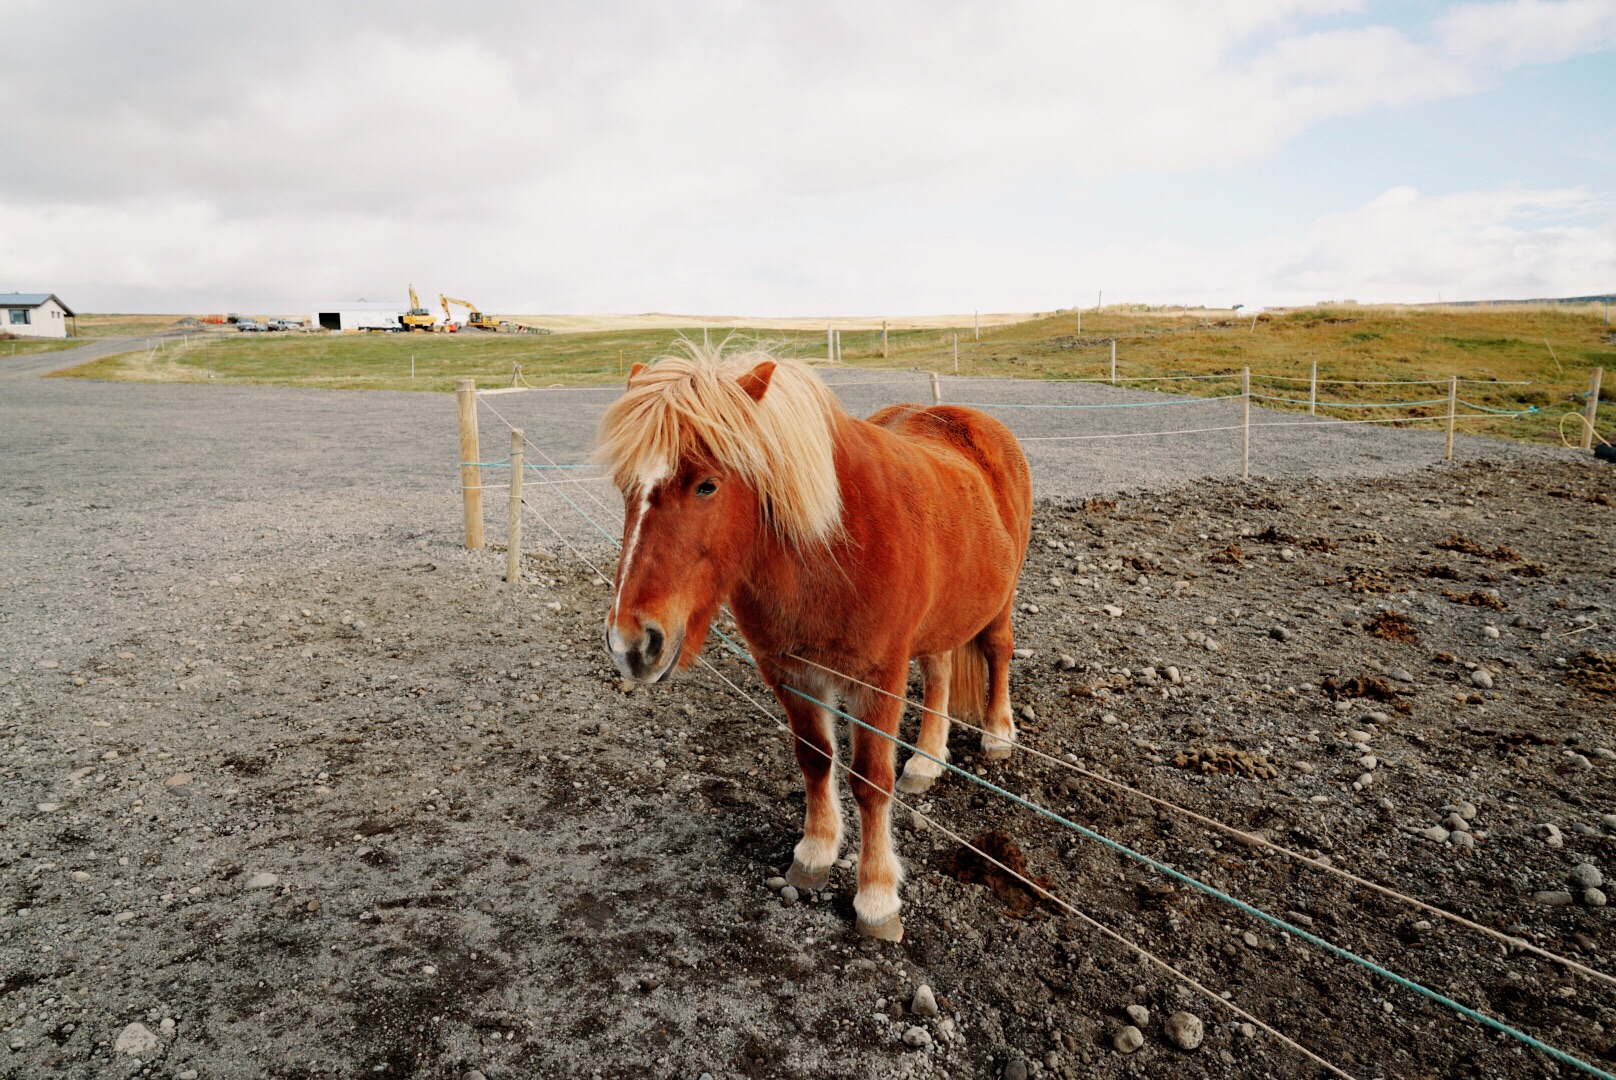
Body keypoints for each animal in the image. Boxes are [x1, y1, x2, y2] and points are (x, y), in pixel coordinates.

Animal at [597, 344, 1034, 937]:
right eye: (625, 487)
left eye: (707, 484)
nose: (631, 643)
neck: (828, 553)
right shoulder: (789, 672)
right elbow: (815, 759)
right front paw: (815, 852)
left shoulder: (878, 678)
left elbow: (870, 782)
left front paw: (877, 897)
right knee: (940, 670)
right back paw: (926, 760)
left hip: (999, 602)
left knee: (998, 651)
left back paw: (996, 734)